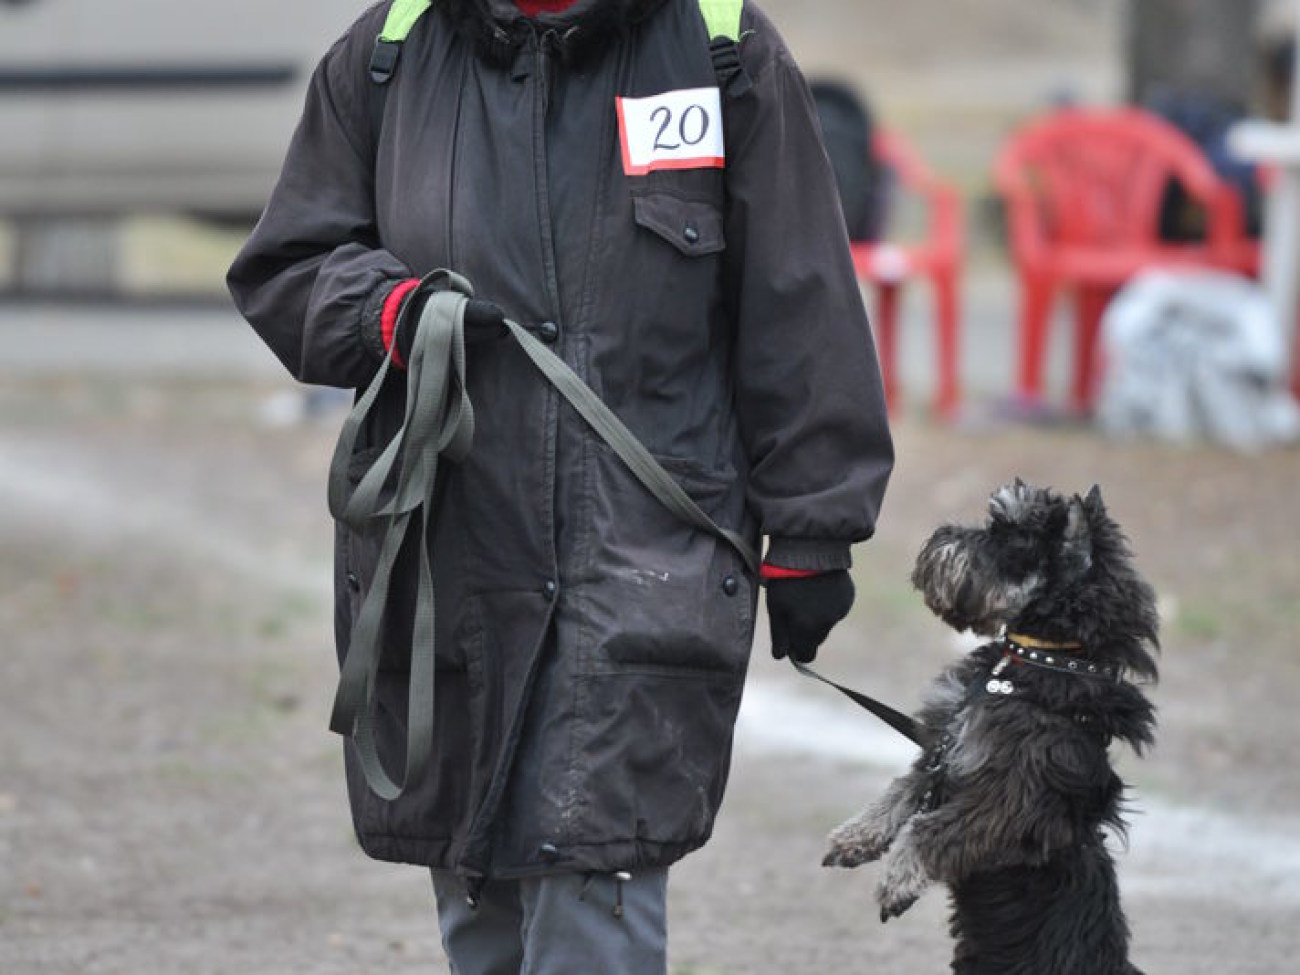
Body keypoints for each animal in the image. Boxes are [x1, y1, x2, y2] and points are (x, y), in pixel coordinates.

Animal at [821, 483, 1159, 975]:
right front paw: (854, 839)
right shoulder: (944, 748)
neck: (1035, 663)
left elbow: (930, 829)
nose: (940, 535)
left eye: (1013, 540)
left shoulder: (1011, 798)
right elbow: (899, 791)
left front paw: (896, 882)